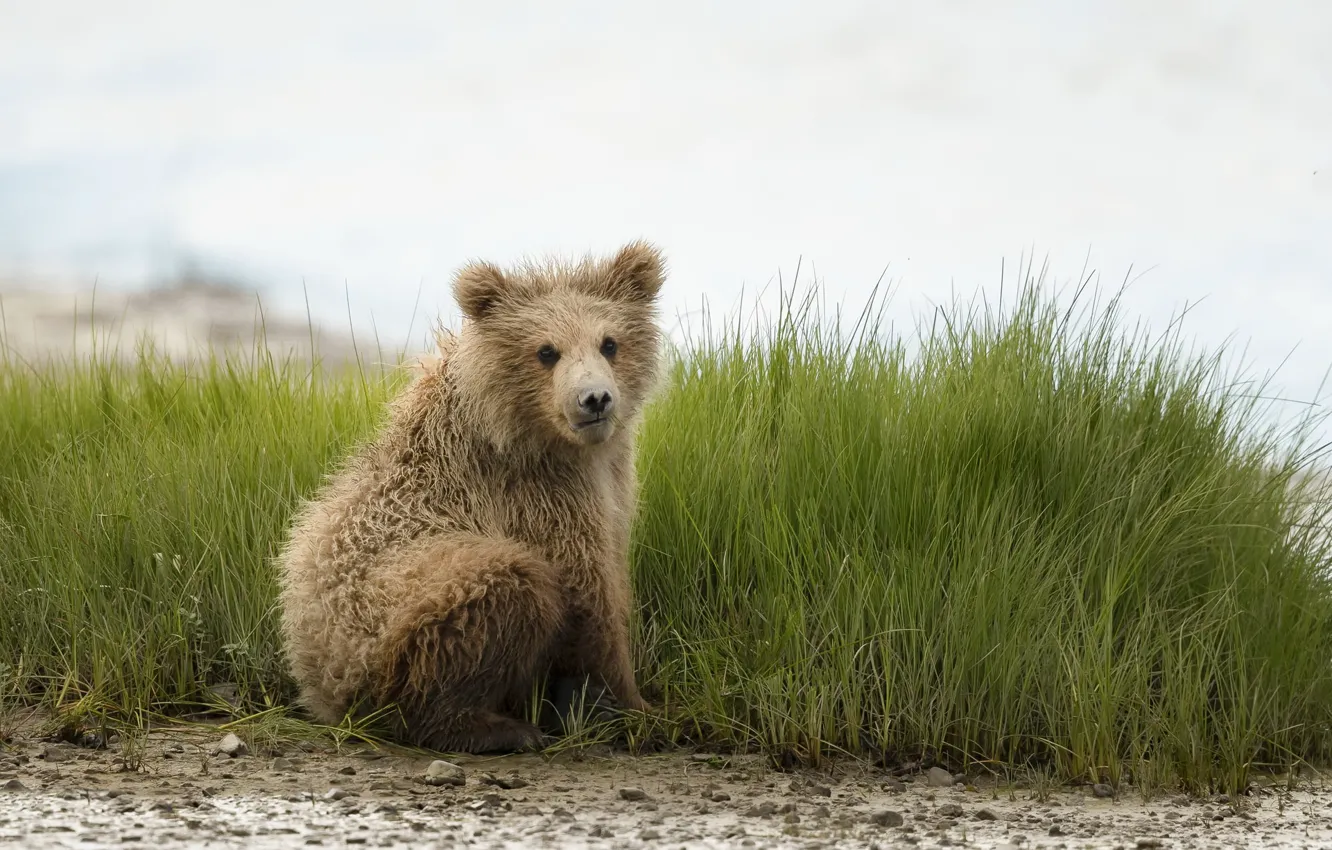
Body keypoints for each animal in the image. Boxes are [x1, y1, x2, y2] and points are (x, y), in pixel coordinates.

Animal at [277, 239, 666, 751]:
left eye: (610, 343)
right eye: (546, 351)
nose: (595, 399)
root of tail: (316, 680)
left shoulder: (612, 481)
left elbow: (612, 569)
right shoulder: (535, 490)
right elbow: (587, 591)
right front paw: (642, 708)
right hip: (379, 629)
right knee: (508, 582)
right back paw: (495, 727)